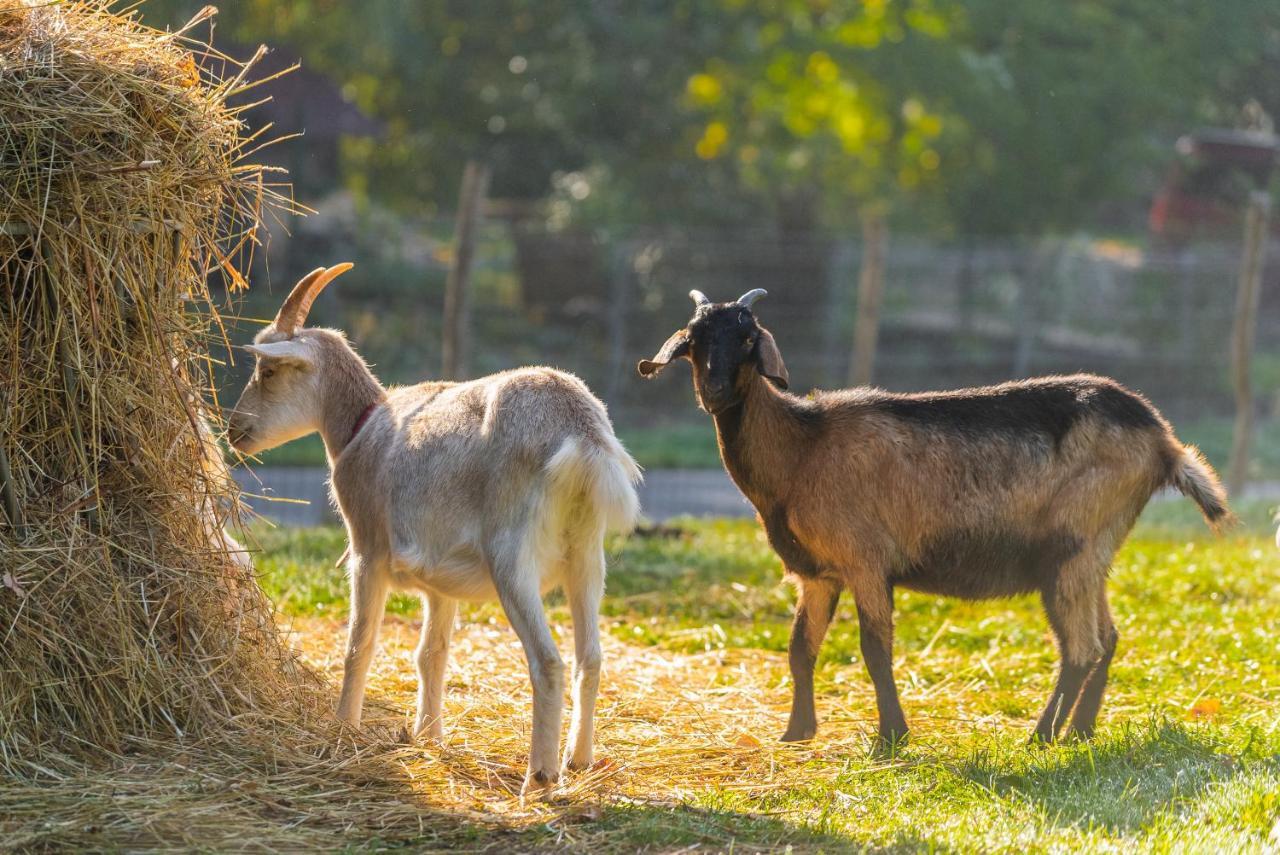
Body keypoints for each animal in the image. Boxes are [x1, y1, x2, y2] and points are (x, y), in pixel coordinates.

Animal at [227, 263, 640, 793]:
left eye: (267, 371)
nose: (234, 430)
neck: (362, 427)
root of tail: (580, 432)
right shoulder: (442, 582)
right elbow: (432, 654)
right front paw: (429, 737)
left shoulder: (367, 551)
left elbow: (360, 645)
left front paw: (344, 728)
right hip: (587, 555)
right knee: (591, 657)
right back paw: (580, 760)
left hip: (512, 556)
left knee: (548, 662)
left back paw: (539, 779)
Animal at [640, 290, 1228, 742]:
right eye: (693, 340)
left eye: (746, 338)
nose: (715, 392)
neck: (802, 448)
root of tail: (1165, 442)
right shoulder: (818, 573)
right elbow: (800, 649)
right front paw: (796, 734)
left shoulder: (866, 561)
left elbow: (874, 650)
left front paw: (891, 738)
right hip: (1096, 553)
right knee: (1108, 639)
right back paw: (1079, 733)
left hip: (1072, 547)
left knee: (1081, 648)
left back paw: (1040, 738)